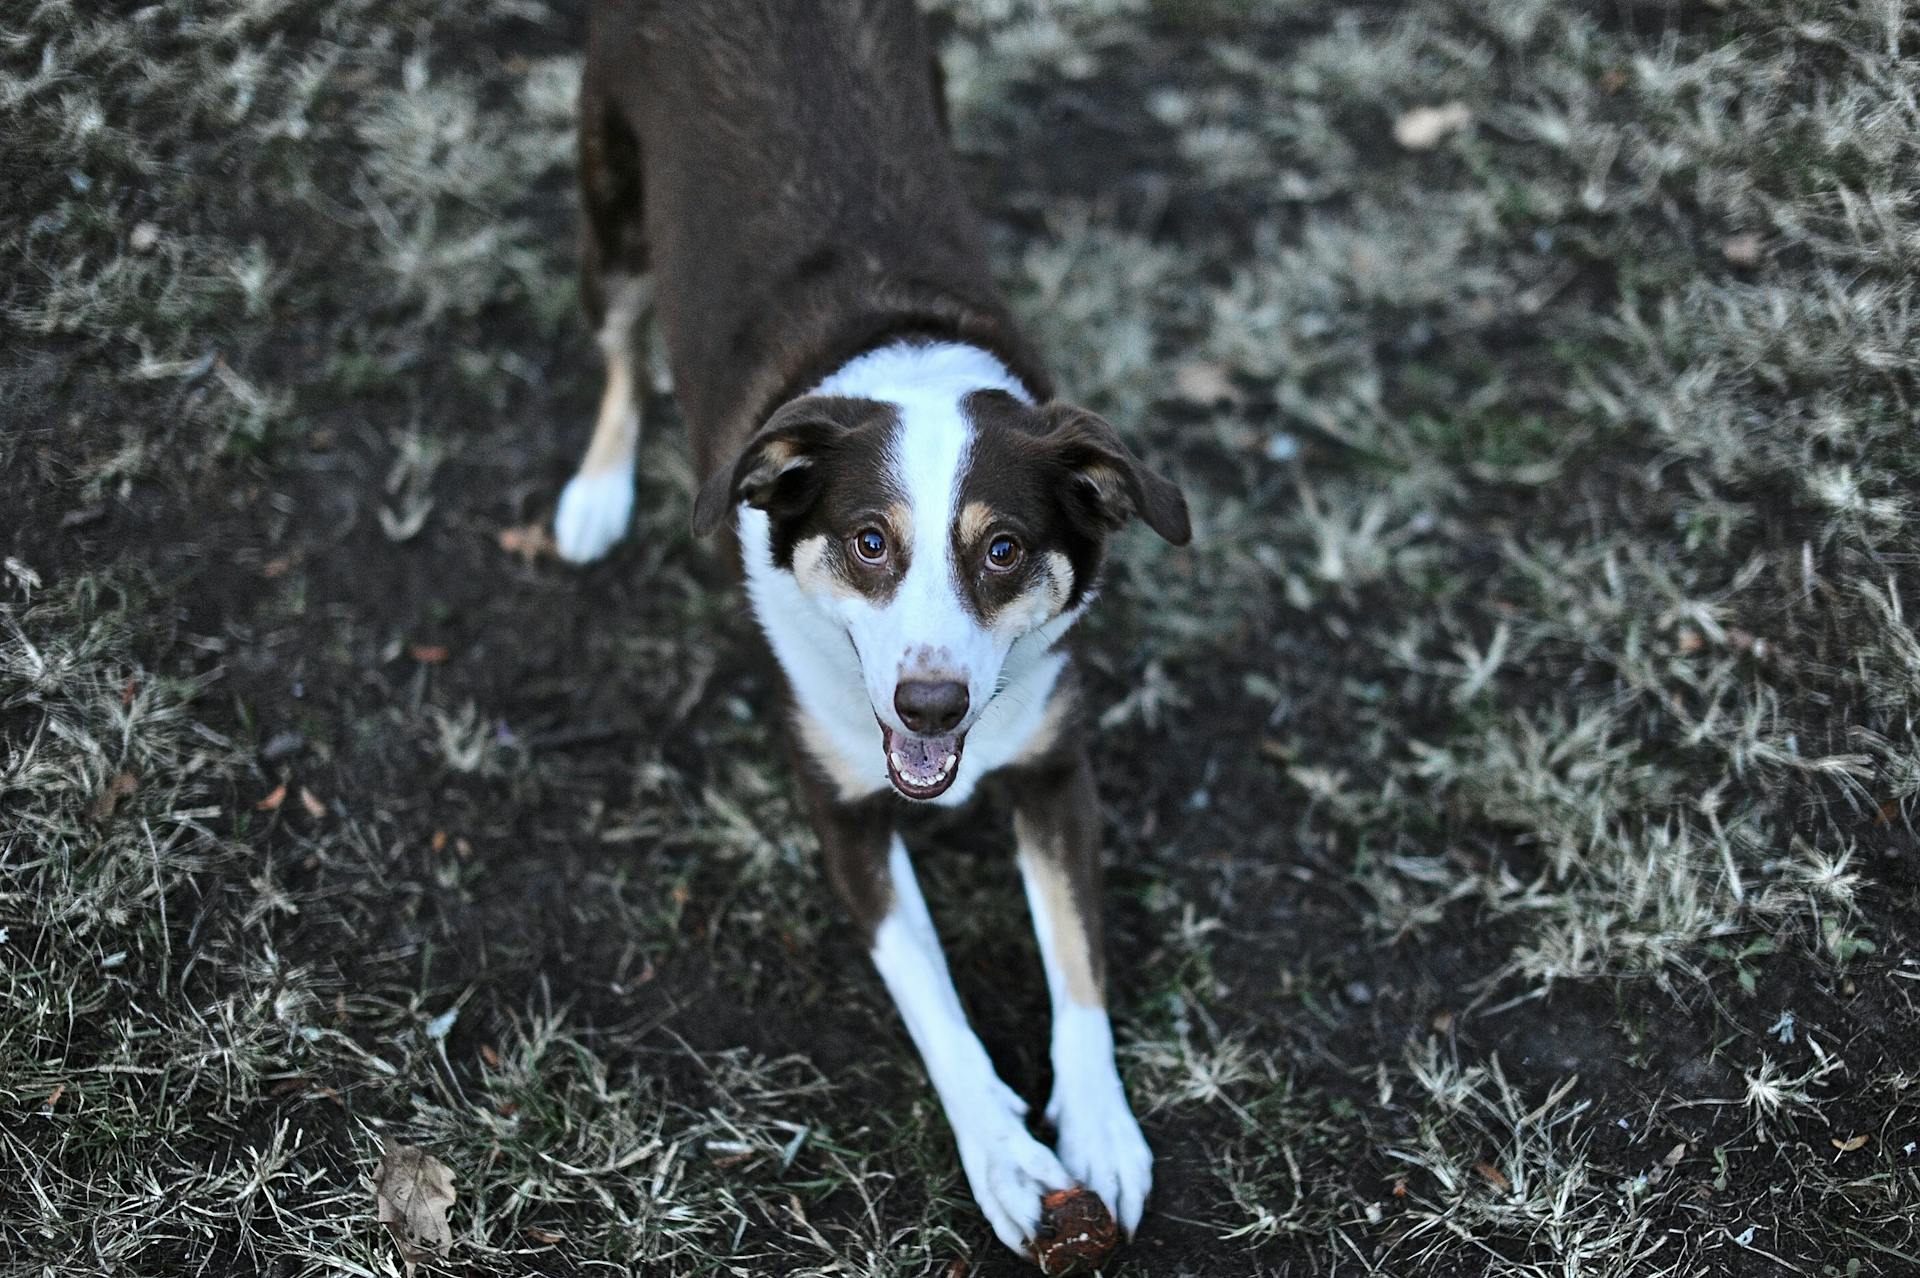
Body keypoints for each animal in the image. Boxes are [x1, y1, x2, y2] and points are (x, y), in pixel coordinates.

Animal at [552, 0, 1182, 1251]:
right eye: (869, 542)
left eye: (1003, 548)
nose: (929, 706)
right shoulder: (840, 803)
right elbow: (929, 990)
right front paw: (1006, 1156)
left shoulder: (1055, 766)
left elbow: (1078, 963)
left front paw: (1099, 1126)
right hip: (611, 218)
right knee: (621, 355)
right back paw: (597, 491)